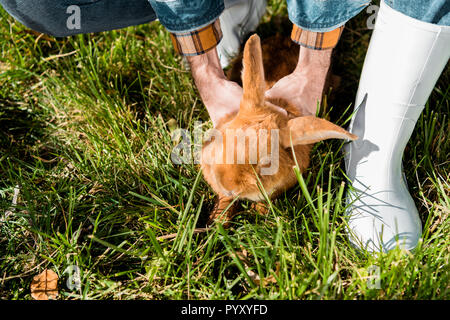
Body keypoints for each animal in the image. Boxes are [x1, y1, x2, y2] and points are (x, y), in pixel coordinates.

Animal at [200, 34, 356, 225]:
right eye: (225, 139)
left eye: (266, 164)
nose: (229, 185)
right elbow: (224, 199)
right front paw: (217, 220)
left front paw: (261, 214)